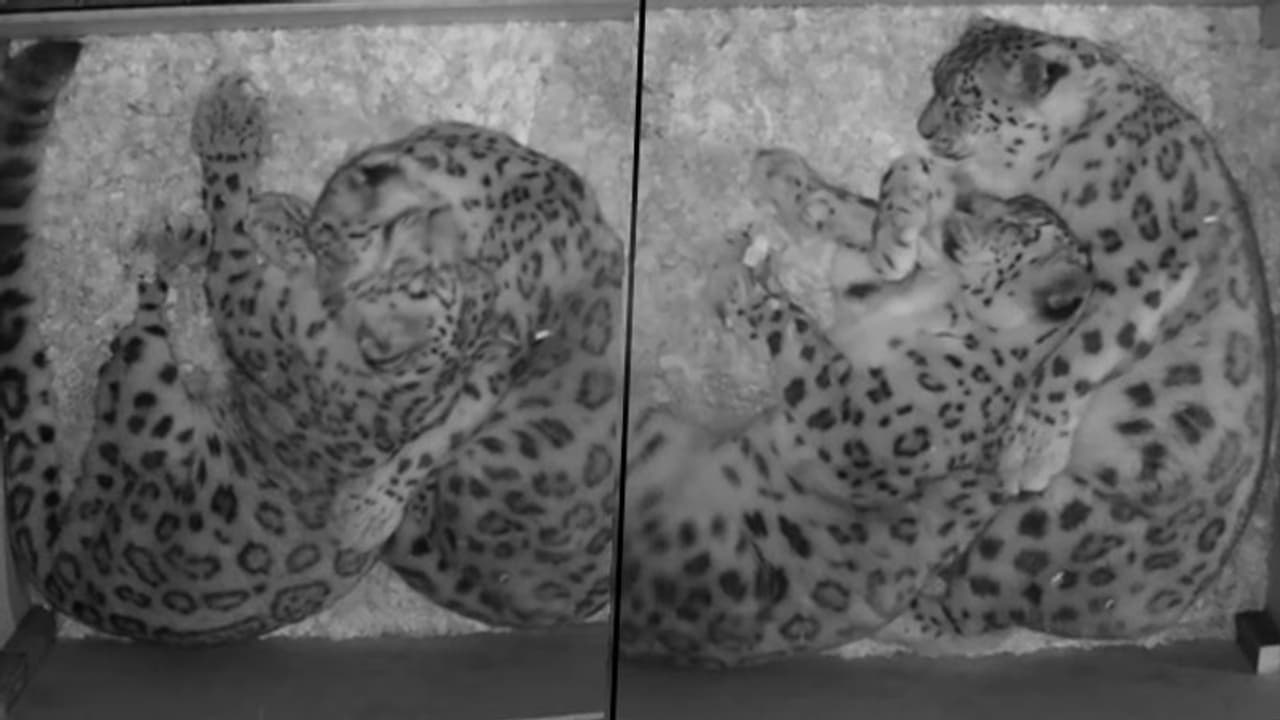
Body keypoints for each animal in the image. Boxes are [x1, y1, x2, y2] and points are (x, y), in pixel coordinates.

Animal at [617, 145, 1197, 668]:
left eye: (1016, 228)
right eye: (1006, 208)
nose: (965, 198)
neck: (941, 304)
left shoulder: (864, 434)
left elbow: (807, 348)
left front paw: (739, 284)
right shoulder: (864, 288)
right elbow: (864, 230)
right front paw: (872, 191)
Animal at [883, 16, 1276, 641]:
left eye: (963, 98)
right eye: (934, 79)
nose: (924, 127)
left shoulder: (1142, 267)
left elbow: (1074, 355)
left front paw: (1029, 449)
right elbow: (911, 171)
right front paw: (893, 235)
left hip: (1032, 532)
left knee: (963, 611)